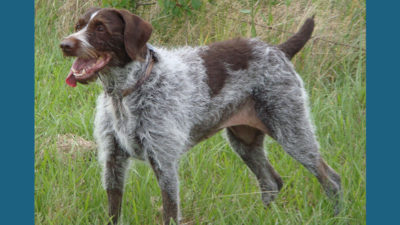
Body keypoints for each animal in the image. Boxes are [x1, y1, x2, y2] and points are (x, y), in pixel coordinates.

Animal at [61, 7, 342, 225]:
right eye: (78, 25)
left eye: (100, 28)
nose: (65, 44)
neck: (128, 91)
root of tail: (278, 49)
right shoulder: (113, 160)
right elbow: (113, 211)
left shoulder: (164, 162)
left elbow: (170, 212)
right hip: (245, 142)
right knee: (271, 182)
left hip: (292, 131)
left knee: (331, 180)